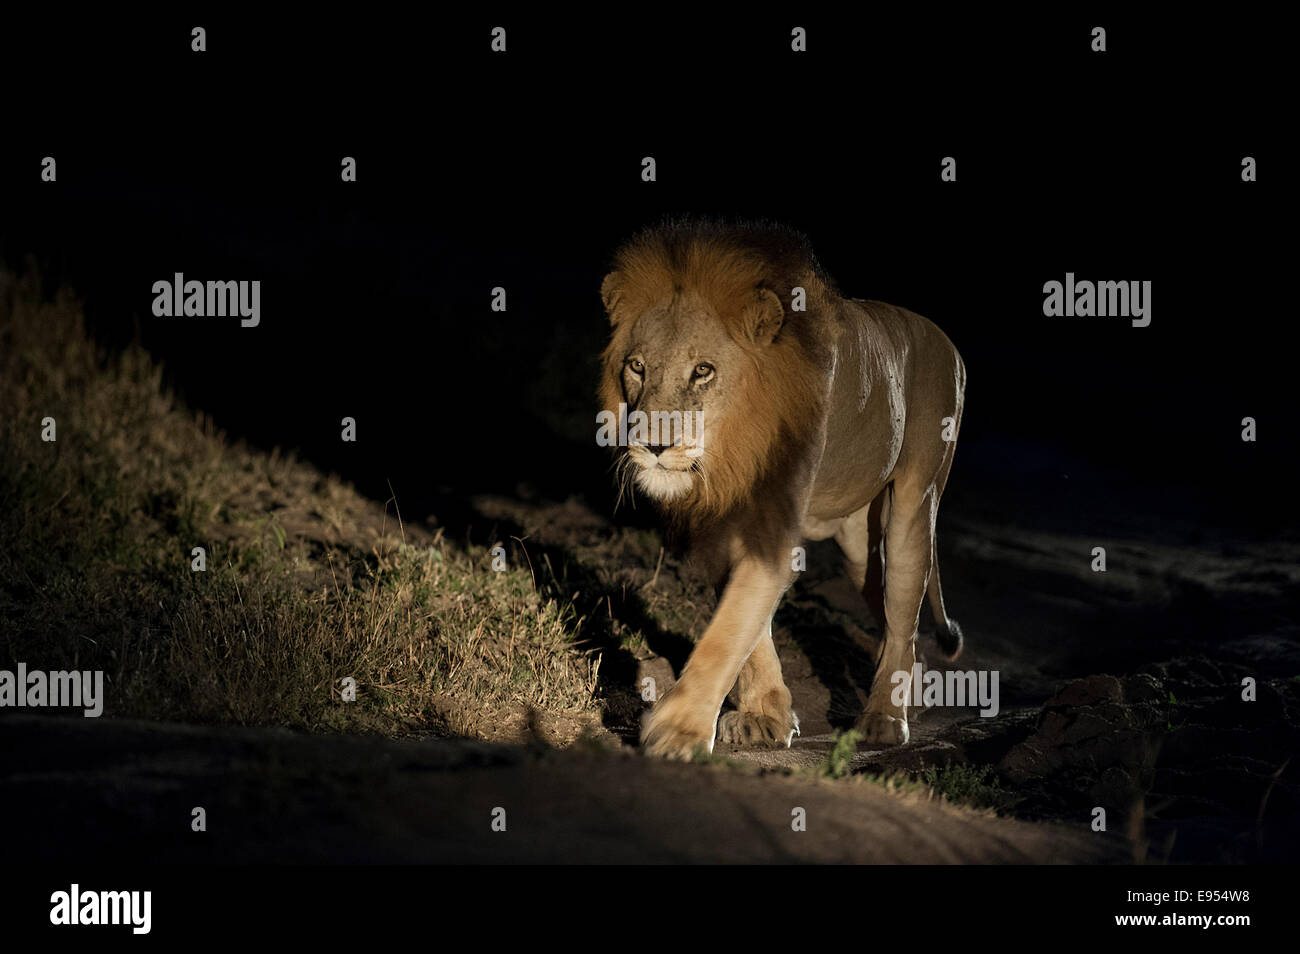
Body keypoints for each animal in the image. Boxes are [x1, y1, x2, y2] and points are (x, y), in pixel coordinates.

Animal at [598, 218, 967, 764]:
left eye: (703, 370)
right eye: (637, 367)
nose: (654, 446)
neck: (733, 448)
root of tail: (946, 340)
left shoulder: (774, 522)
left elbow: (729, 629)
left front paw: (679, 729)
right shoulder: (724, 522)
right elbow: (749, 629)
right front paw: (766, 716)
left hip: (914, 503)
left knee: (903, 611)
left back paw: (885, 718)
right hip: (858, 545)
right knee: (891, 609)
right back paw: (913, 696)